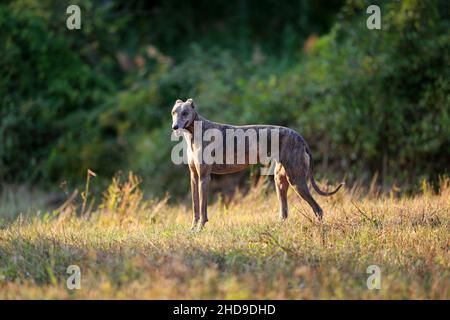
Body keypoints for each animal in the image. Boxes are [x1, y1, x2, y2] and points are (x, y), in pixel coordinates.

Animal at [171, 98, 342, 230]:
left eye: (185, 113)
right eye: (174, 112)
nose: (175, 127)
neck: (195, 132)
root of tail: (301, 138)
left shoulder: (204, 177)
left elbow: (202, 208)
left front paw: (199, 229)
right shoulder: (194, 177)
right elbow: (195, 206)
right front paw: (192, 229)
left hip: (296, 180)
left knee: (318, 209)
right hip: (280, 180)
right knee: (284, 212)